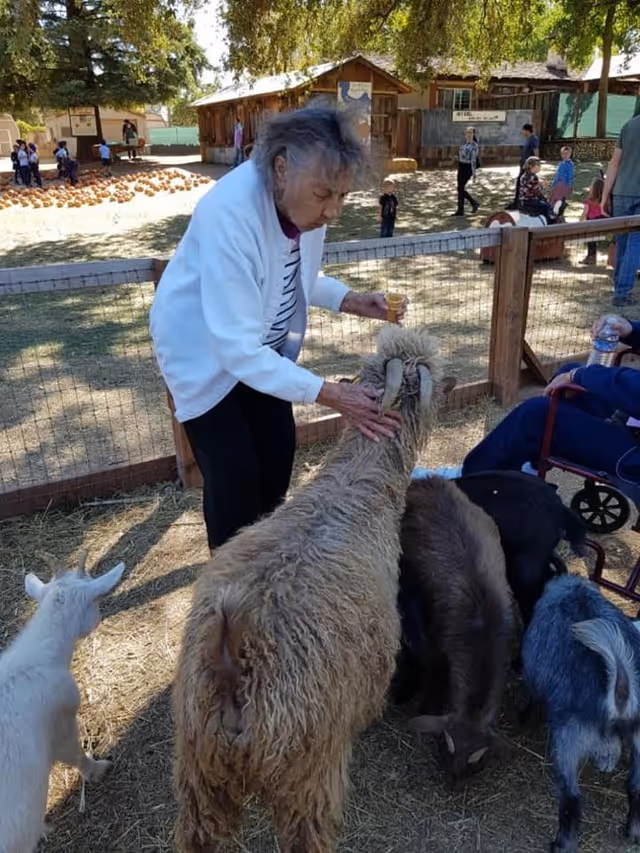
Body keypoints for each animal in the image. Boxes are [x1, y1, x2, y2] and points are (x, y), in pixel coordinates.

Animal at [523, 573, 640, 852]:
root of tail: (621, 691)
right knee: (636, 786)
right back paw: (633, 831)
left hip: (569, 738)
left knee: (572, 798)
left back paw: (562, 844)